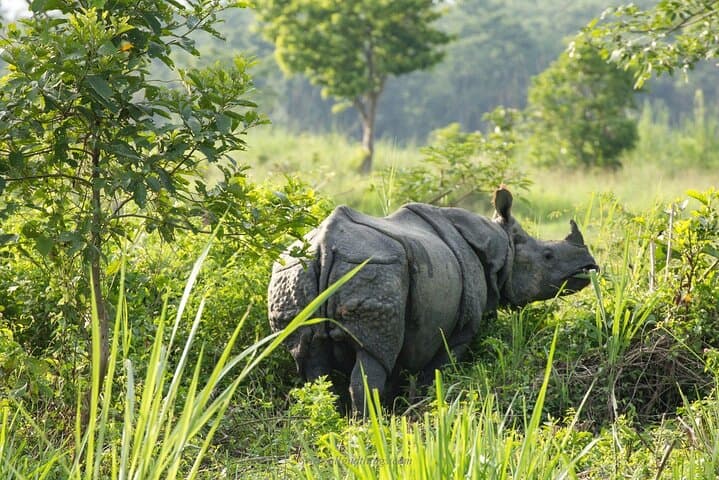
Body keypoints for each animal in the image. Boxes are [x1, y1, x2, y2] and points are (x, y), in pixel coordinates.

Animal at [268, 187, 598, 412]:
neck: (502, 246)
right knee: (371, 358)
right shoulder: (462, 327)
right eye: (548, 255)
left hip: (293, 271)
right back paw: (367, 427)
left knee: (310, 360)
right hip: (375, 266)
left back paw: (335, 420)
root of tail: (325, 246)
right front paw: (426, 405)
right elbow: (439, 368)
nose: (589, 267)